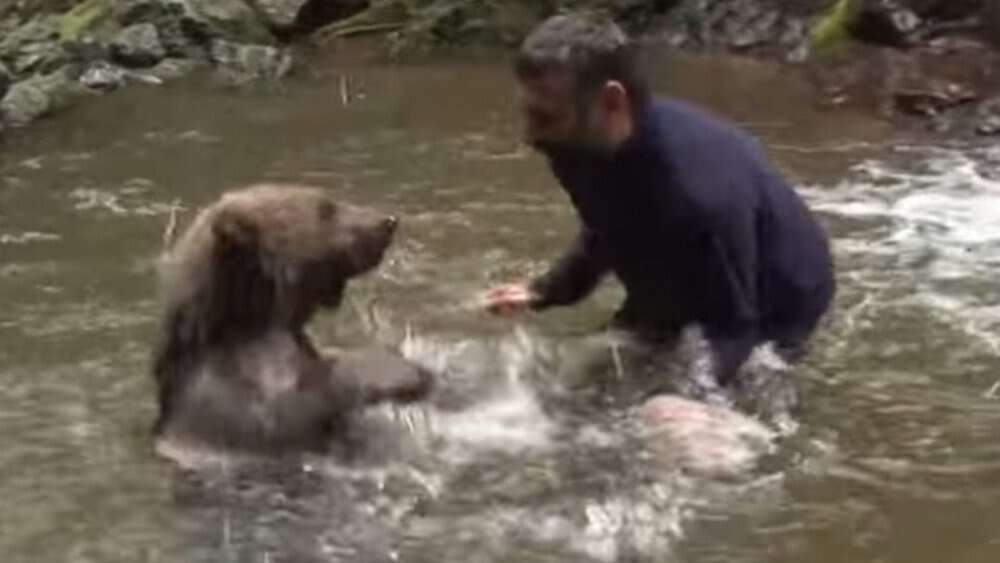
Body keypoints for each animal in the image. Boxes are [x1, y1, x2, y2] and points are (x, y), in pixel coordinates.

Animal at [150, 183, 433, 464]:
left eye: (328, 201)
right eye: (325, 208)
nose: (388, 221)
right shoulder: (225, 397)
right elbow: (282, 417)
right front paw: (405, 372)